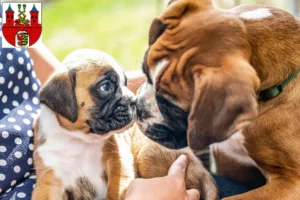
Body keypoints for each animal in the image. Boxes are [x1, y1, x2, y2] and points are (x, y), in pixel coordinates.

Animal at [31, 48, 217, 200]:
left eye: (125, 83)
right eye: (105, 87)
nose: (134, 101)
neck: (78, 139)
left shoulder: (117, 160)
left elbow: (116, 190)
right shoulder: (50, 182)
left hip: (147, 154)